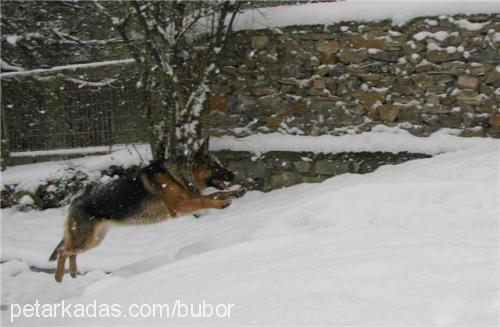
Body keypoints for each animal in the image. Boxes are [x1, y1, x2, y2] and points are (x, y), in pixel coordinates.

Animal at [49, 138, 245, 282]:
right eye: (217, 166)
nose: (234, 175)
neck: (177, 175)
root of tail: (74, 202)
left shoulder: (188, 199)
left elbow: (214, 194)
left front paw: (235, 192)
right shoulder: (179, 206)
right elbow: (205, 200)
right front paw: (221, 203)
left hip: (94, 240)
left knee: (70, 251)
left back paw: (73, 272)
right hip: (87, 240)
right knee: (62, 251)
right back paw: (58, 276)